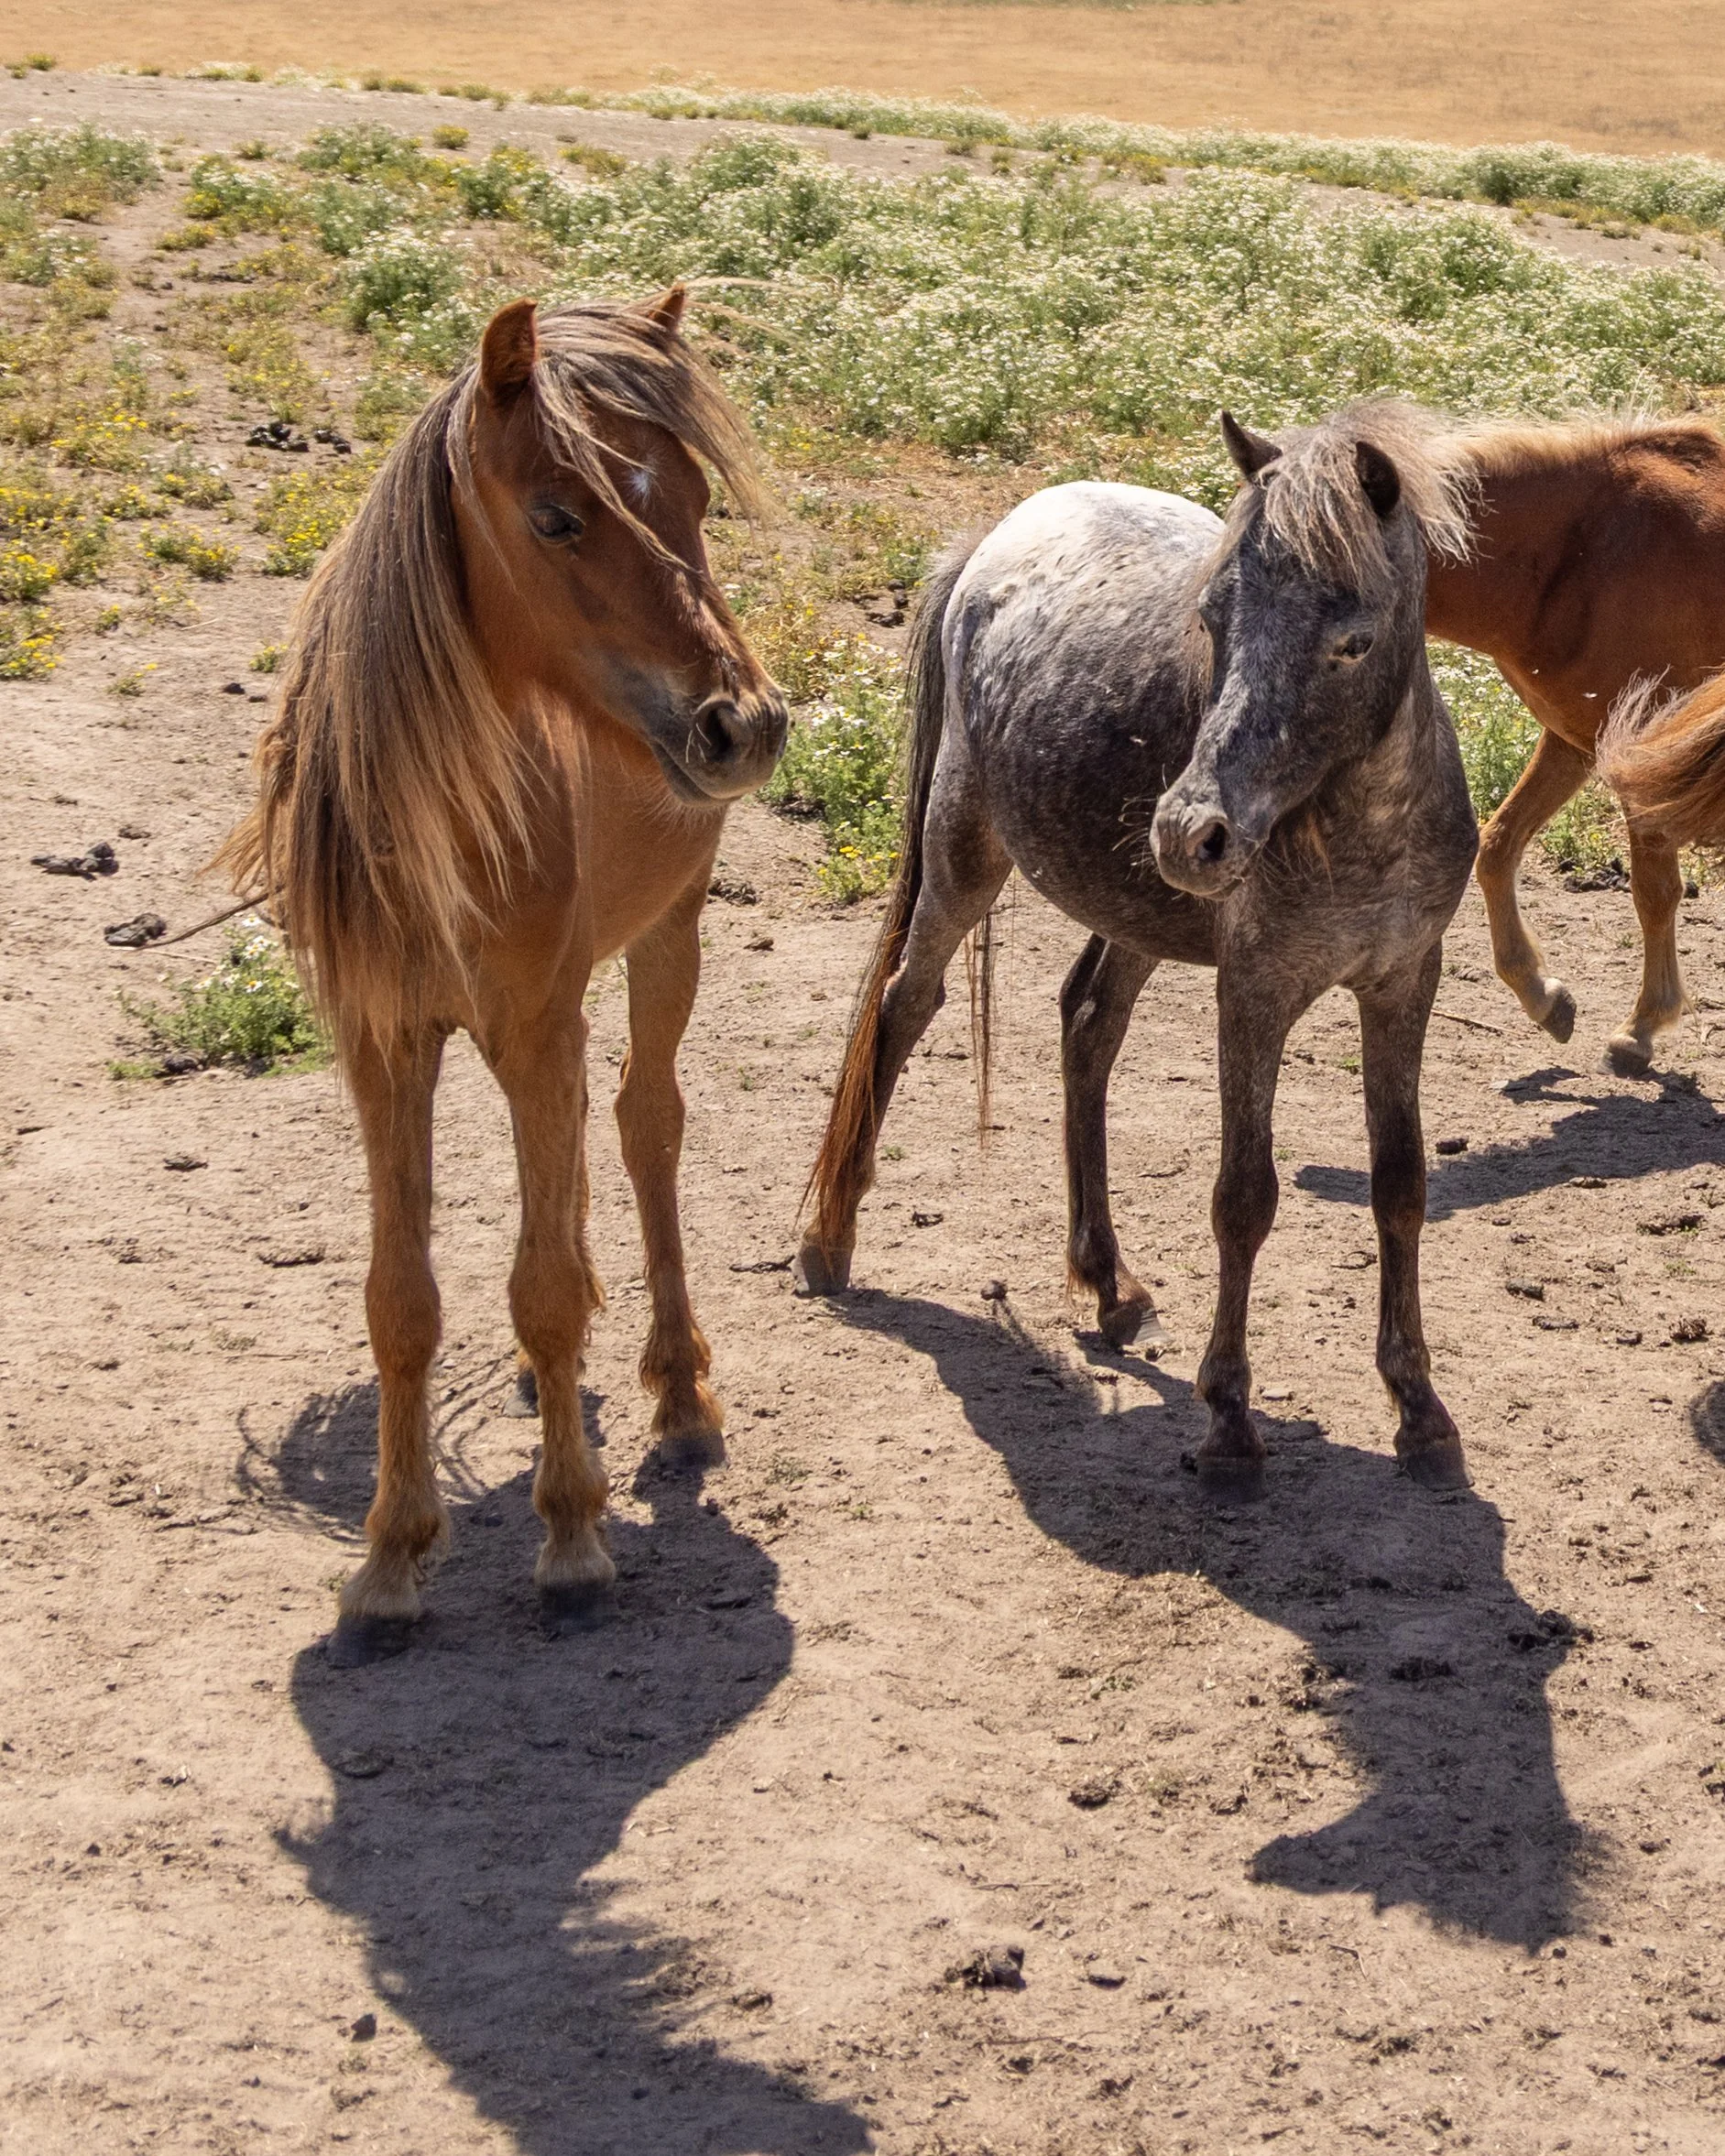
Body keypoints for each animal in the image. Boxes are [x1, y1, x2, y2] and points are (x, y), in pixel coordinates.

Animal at [220, 290, 788, 1664]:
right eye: (555, 515)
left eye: (697, 498)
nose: (742, 722)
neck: (433, 810)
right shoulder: (380, 1040)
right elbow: (401, 1299)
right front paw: (389, 1558)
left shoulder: (533, 1022)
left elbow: (540, 1282)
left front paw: (571, 1536)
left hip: (664, 936)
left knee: (641, 1127)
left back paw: (675, 1392)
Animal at [796, 404, 1480, 1501]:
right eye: (1212, 619)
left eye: (1350, 642)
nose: (1191, 832)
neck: (1362, 823)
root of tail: (1000, 532)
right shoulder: (1255, 993)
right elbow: (1243, 1198)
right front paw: (1229, 1419)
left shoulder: (1402, 982)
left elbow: (1401, 1185)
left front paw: (1417, 1410)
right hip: (963, 853)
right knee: (906, 1002)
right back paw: (830, 1239)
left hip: (1131, 916)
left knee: (1086, 1023)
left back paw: (1107, 1280)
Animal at [1425, 414, 1725, 1075]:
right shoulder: (1575, 742)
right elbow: (1496, 847)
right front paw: (1543, 997)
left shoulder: (1644, 763)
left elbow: (1654, 892)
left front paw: (1641, 1027)